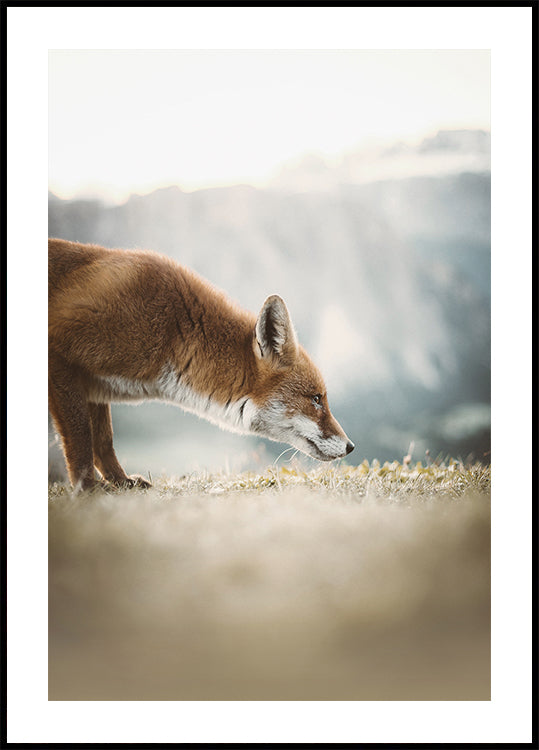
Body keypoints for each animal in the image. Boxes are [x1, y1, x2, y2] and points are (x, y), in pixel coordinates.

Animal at [48, 238, 354, 491]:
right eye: (316, 399)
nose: (351, 447)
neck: (172, 331)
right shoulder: (59, 351)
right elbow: (82, 438)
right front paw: (88, 489)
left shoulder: (95, 385)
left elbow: (103, 441)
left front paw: (121, 482)